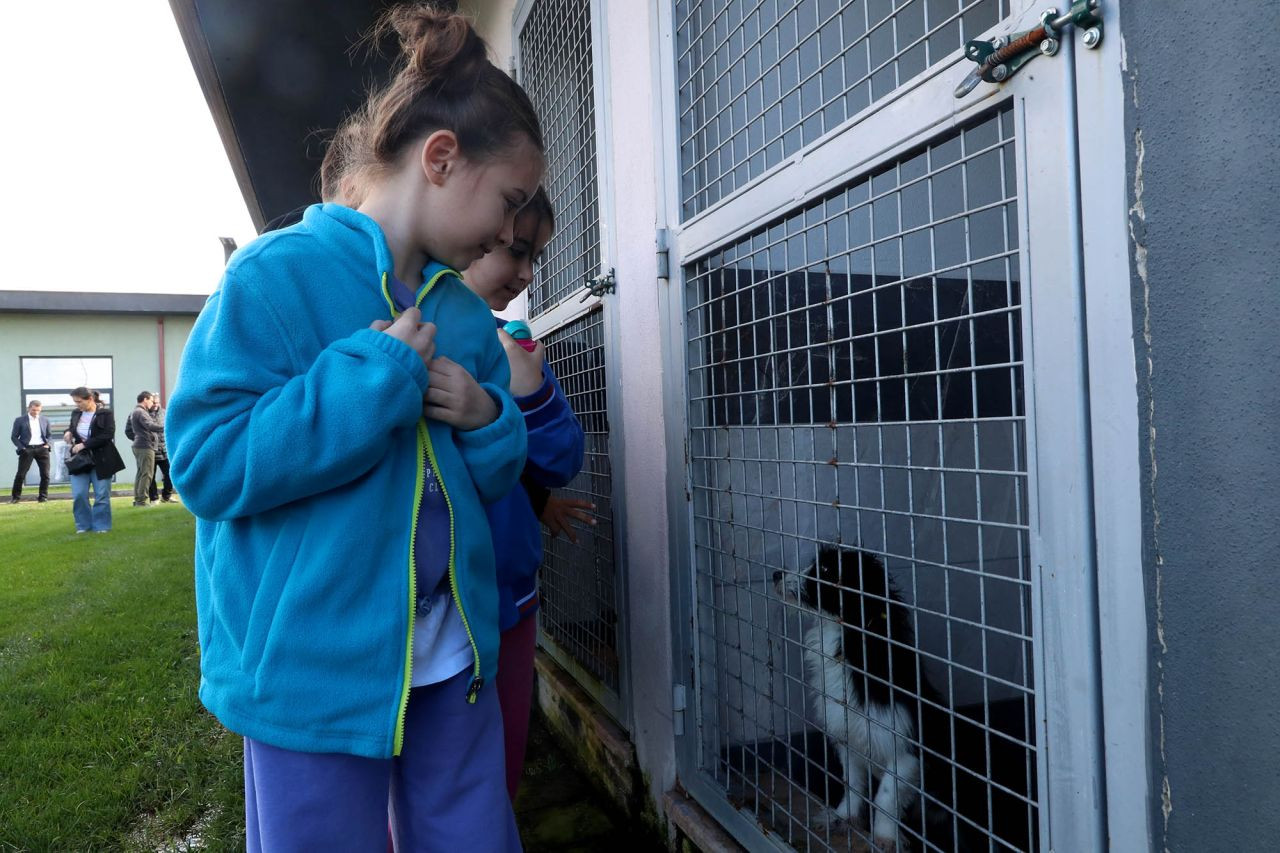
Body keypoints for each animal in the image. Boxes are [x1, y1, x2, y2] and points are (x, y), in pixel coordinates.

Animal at [768, 548, 952, 845]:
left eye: (827, 570)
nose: (776, 574)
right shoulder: (848, 738)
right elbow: (852, 784)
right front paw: (843, 818)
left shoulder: (905, 751)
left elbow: (885, 797)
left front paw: (885, 838)